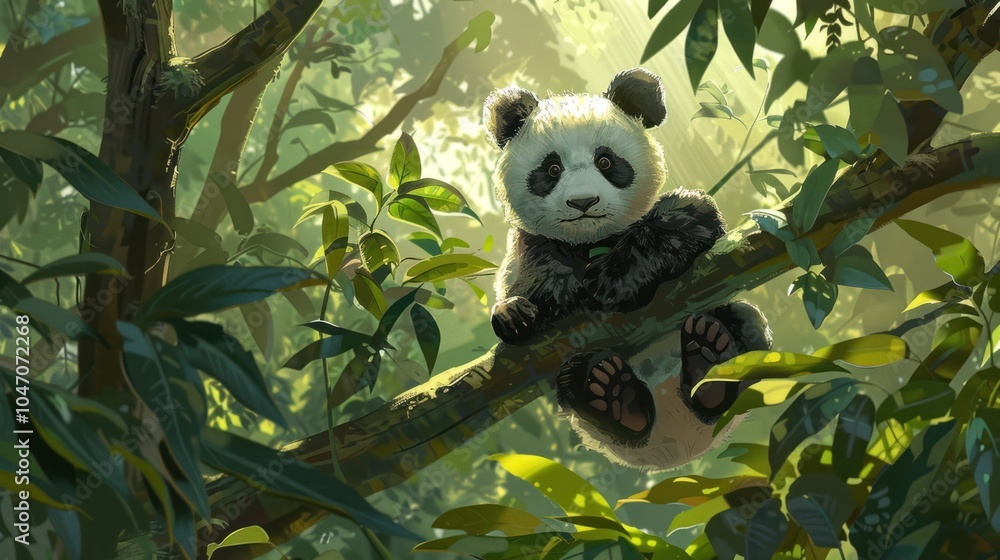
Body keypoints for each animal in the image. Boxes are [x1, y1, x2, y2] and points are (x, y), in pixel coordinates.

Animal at [483, 68, 772, 469]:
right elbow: (530, 280)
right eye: (552, 169)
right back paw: (615, 395)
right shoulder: (529, 249)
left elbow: (690, 218)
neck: (593, 242)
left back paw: (710, 363)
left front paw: (612, 282)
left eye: (606, 162)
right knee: (577, 384)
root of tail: (679, 442)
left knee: (745, 323)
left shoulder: (682, 221)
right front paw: (520, 313)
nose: (583, 202)